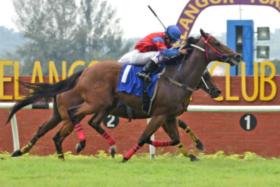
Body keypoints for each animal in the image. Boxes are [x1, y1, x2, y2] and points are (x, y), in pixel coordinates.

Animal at [7, 29, 241, 161]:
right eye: (217, 43)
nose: (237, 55)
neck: (177, 77)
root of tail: (84, 72)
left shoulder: (168, 116)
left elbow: (175, 139)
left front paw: (193, 153)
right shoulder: (159, 114)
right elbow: (144, 136)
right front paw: (127, 156)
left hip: (76, 111)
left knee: (55, 129)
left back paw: (32, 152)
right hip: (94, 104)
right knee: (74, 117)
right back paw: (80, 145)